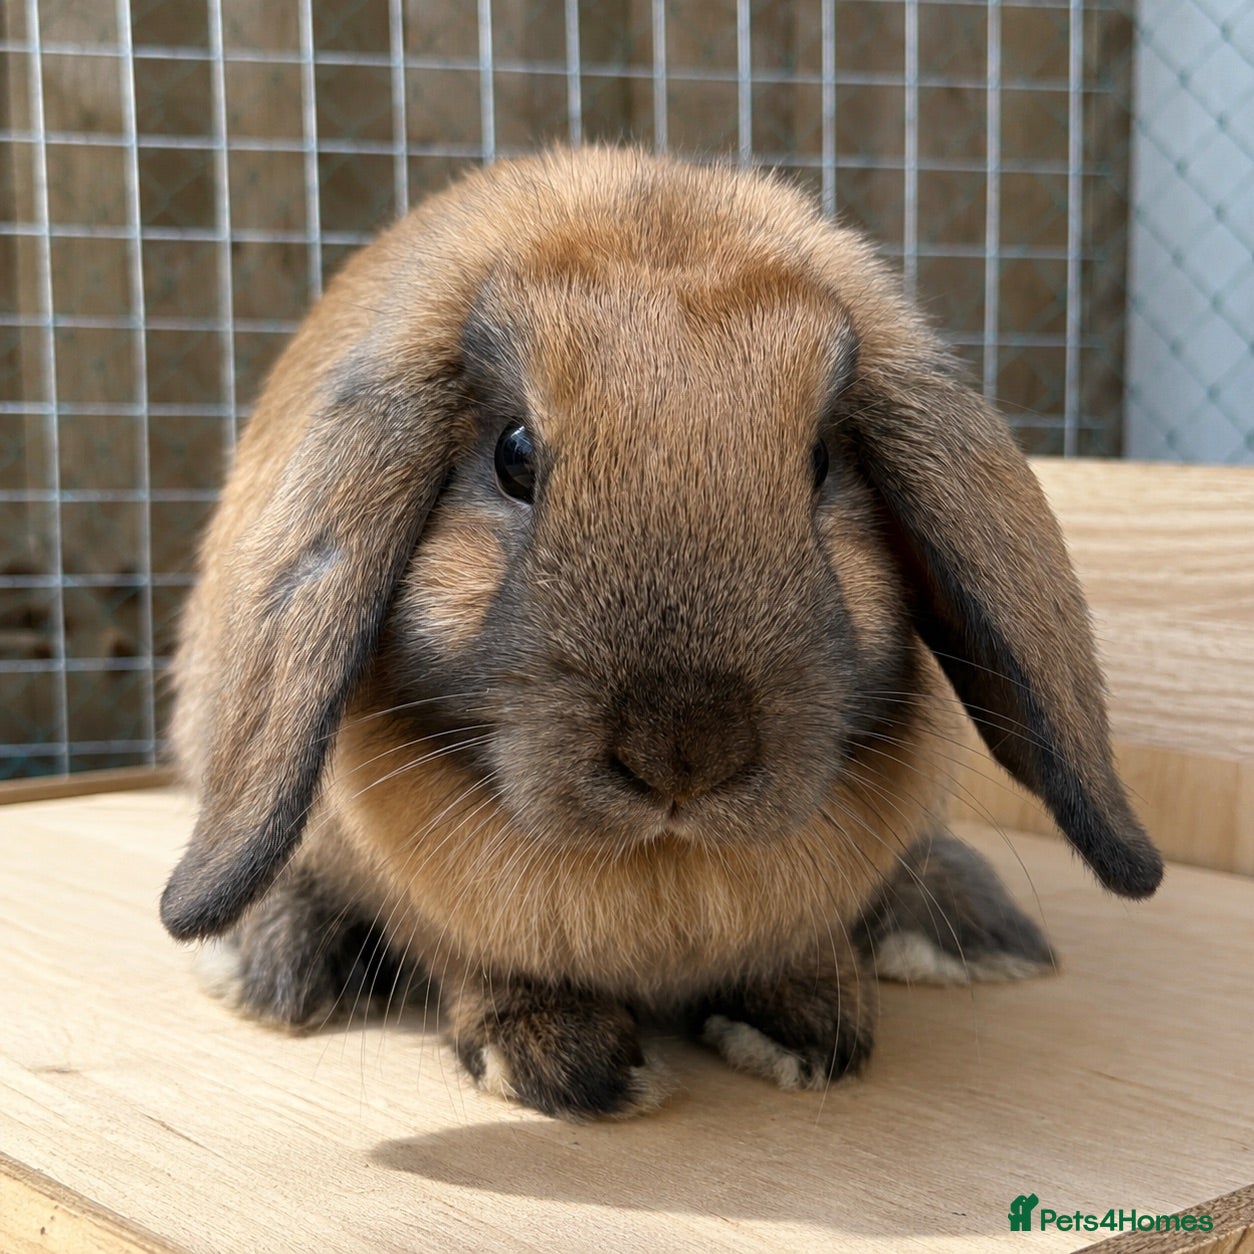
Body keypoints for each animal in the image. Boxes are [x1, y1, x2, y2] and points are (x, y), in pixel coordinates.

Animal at [160, 147, 1162, 1120]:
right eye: (514, 457)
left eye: (822, 463)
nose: (686, 753)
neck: (665, 871)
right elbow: (478, 966)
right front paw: (564, 1063)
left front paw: (810, 1026)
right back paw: (276, 964)